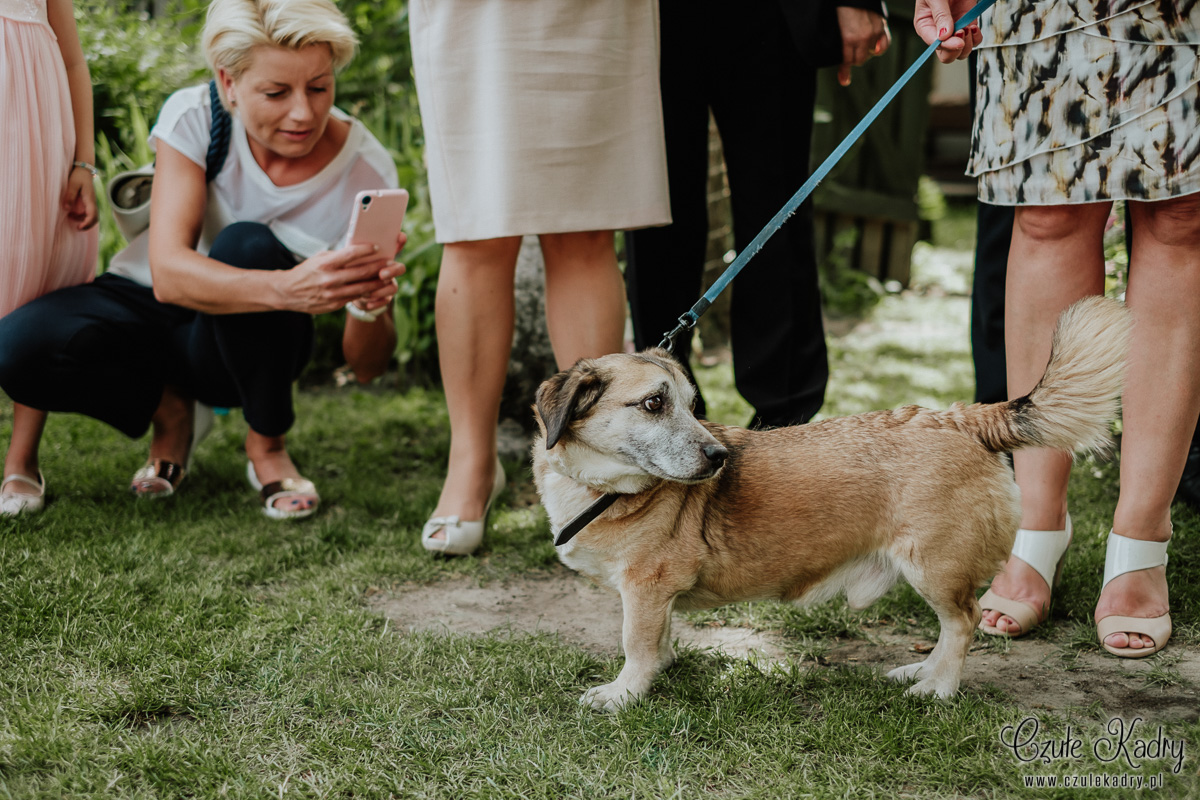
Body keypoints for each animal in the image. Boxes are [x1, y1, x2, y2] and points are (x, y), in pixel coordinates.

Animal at [535, 297, 1132, 710]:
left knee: (962, 623)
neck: (601, 488)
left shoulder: (645, 588)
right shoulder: (652, 597)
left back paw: (938, 690)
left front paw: (622, 693)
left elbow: (636, 645)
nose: (720, 457)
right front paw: (658, 671)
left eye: (689, 405)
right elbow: (657, 642)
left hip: (935, 567)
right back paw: (921, 673)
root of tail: (963, 417)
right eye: (654, 404)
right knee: (949, 628)